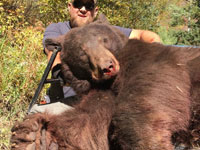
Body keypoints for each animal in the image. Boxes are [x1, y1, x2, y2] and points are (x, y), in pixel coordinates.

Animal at [10, 15, 200, 149]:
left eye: (104, 40)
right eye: (82, 52)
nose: (107, 67)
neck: (112, 81)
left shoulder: (157, 66)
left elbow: (145, 102)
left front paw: (150, 142)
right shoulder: (103, 92)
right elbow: (90, 119)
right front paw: (35, 135)